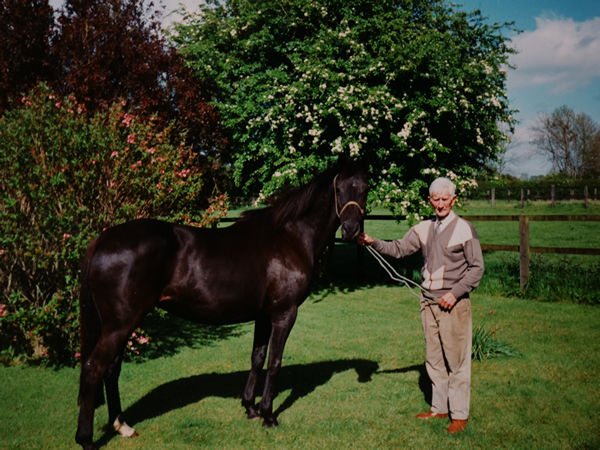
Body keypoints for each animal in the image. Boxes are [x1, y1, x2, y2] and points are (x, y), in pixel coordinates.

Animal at [74, 163, 366, 448]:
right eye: (339, 189)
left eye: (364, 188)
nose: (351, 230)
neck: (289, 238)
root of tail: (102, 239)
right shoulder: (284, 314)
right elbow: (275, 361)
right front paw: (268, 415)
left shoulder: (263, 316)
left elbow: (257, 357)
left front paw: (250, 408)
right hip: (119, 325)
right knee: (93, 369)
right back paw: (86, 439)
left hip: (122, 325)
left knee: (111, 370)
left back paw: (122, 426)